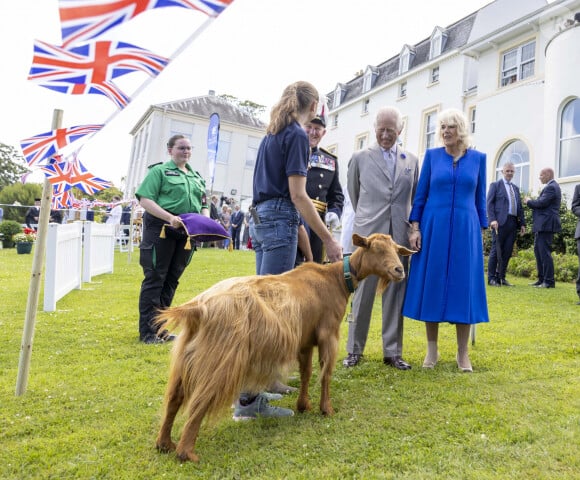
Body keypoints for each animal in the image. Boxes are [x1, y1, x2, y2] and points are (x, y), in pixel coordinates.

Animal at [156, 232, 414, 462]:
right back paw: (186, 452)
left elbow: (306, 373)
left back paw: (165, 444)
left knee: (174, 398)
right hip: (221, 359)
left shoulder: (305, 340)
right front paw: (326, 409)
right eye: (377, 249)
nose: (399, 271)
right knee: (200, 401)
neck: (336, 279)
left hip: (189, 356)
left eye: (396, 249)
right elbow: (325, 373)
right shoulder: (328, 334)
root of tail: (198, 307)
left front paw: (303, 405)